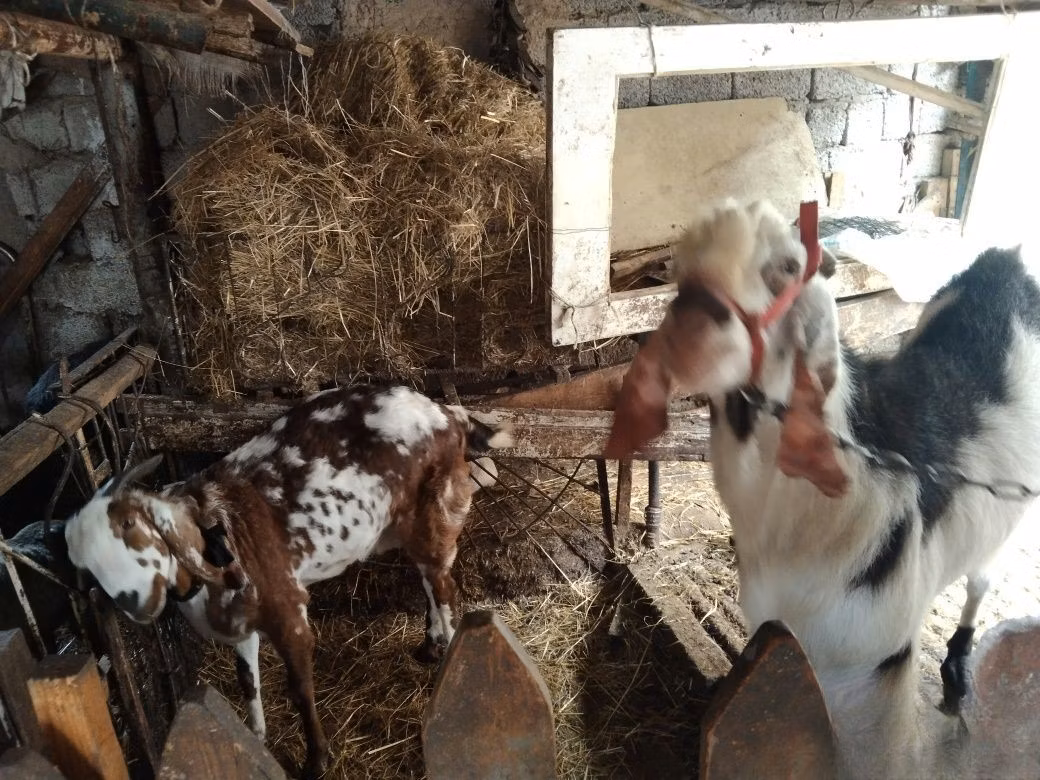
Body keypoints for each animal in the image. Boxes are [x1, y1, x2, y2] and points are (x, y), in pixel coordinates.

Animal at [64, 385, 513, 779]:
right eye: (82, 565)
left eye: (129, 524)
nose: (133, 600)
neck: (215, 534)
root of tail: (449, 416)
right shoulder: (242, 623)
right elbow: (247, 683)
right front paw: (254, 740)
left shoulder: (287, 610)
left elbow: (299, 689)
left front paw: (316, 762)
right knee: (429, 582)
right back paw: (430, 645)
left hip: (435, 513)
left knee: (445, 589)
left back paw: (447, 664)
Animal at [606, 199, 1040, 778]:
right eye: (680, 270)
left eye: (788, 268)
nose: (688, 340)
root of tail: (1010, 258)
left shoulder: (870, 673)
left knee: (982, 579)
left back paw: (959, 663)